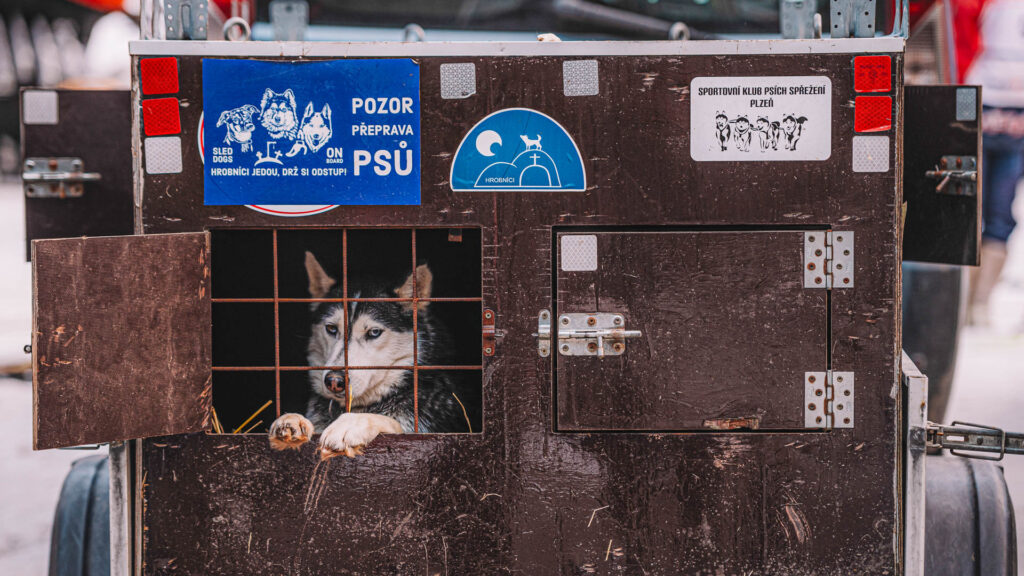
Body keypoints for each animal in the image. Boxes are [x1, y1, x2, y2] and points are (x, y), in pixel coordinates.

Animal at [268, 251, 475, 457]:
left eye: (374, 332)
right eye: (331, 328)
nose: (334, 381)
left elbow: (388, 422)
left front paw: (350, 423)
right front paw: (293, 419)